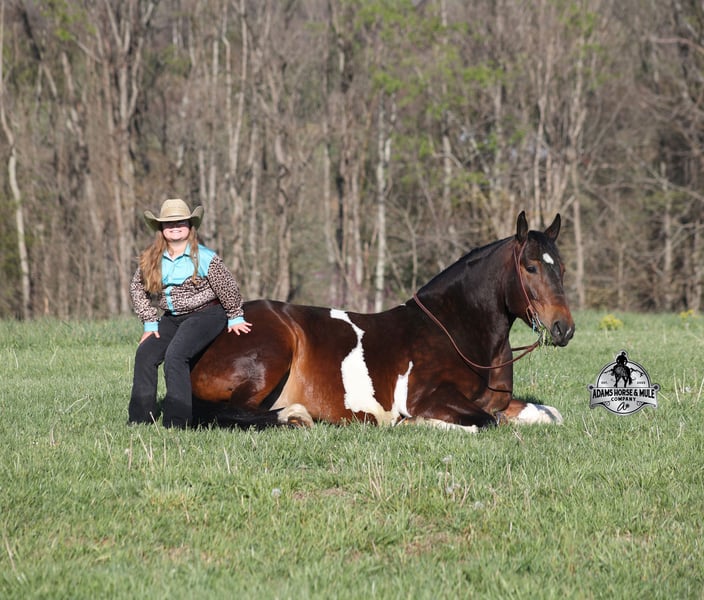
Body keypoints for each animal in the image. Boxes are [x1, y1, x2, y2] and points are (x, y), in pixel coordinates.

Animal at [190, 211, 575, 432]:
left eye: (561, 267)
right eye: (530, 267)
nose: (564, 328)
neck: (456, 332)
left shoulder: (501, 403)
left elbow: (550, 413)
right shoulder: (430, 398)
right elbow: (485, 422)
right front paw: (412, 424)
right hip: (269, 359)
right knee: (223, 413)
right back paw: (294, 416)